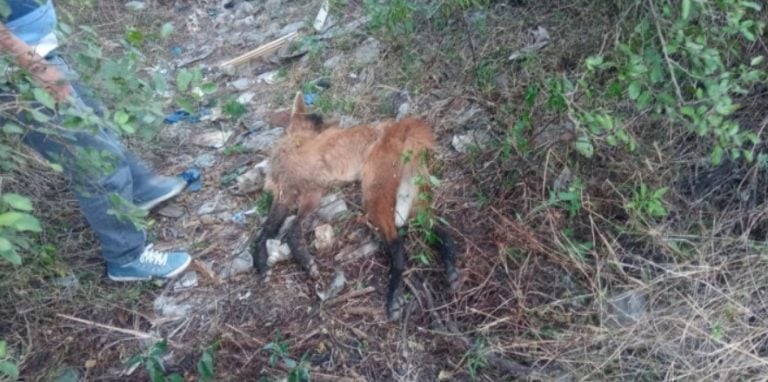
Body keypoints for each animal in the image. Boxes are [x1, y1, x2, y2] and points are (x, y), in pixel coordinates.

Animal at [250, 92, 456, 320]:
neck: (295, 143)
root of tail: (401, 125)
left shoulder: (312, 192)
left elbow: (292, 231)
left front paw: (306, 262)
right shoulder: (284, 195)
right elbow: (265, 231)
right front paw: (261, 263)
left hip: (373, 195)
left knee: (397, 244)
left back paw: (394, 297)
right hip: (411, 197)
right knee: (439, 228)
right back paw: (451, 267)